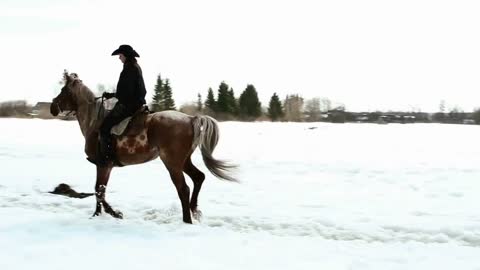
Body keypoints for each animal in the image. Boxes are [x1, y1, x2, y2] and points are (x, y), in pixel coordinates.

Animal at [49, 70, 236, 224]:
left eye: (63, 90)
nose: (52, 107)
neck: (95, 123)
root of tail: (191, 119)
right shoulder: (104, 166)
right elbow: (99, 191)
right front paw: (98, 215)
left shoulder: (104, 164)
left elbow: (99, 191)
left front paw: (114, 213)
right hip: (184, 161)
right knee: (198, 178)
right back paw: (194, 210)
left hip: (172, 163)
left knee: (183, 189)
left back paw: (187, 220)